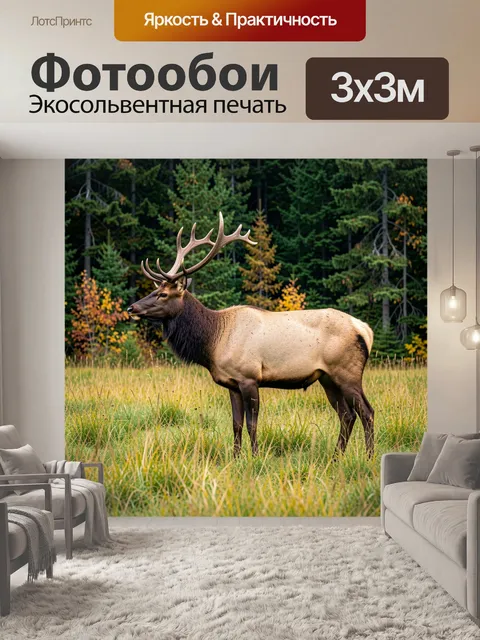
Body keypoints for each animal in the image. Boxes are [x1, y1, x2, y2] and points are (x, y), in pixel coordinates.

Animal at [128, 213, 375, 459]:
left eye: (163, 294)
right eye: (154, 290)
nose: (132, 308)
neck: (213, 341)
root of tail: (365, 329)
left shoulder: (249, 377)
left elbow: (251, 424)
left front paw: (255, 457)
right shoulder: (232, 383)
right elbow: (236, 424)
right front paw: (235, 458)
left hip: (347, 372)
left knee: (366, 412)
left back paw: (369, 456)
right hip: (327, 377)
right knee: (347, 415)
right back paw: (336, 457)